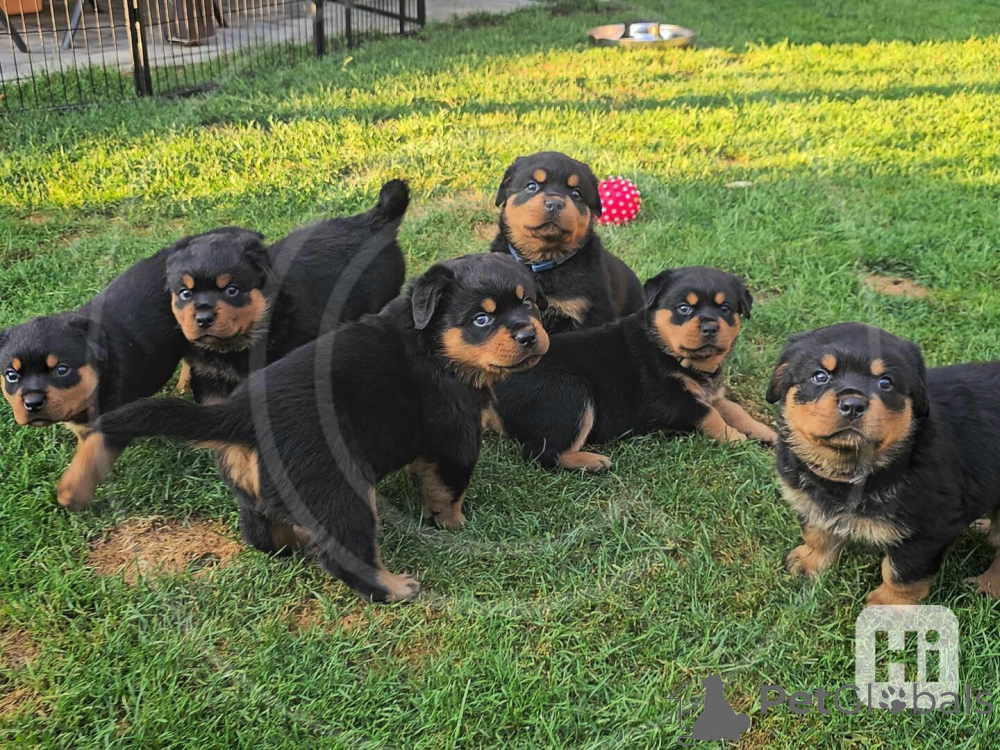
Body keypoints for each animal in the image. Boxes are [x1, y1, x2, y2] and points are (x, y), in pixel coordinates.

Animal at [0, 246, 187, 510]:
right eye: (11, 375)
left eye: (62, 370)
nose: (32, 403)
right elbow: (86, 451)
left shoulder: (119, 420)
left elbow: (90, 457)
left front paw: (70, 494)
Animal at [95, 254, 550, 602]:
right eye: (481, 319)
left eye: (529, 303)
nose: (529, 335)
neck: (434, 346)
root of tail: (237, 413)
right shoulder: (457, 437)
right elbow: (448, 491)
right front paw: (454, 523)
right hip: (341, 489)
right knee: (345, 554)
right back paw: (396, 588)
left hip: (252, 489)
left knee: (262, 533)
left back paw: (297, 542)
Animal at [490, 266, 776, 472]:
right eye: (684, 308)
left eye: (725, 308)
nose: (710, 327)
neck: (670, 352)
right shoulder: (667, 402)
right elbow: (710, 414)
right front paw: (734, 437)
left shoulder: (707, 392)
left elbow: (733, 408)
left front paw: (764, 431)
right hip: (570, 393)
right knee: (541, 452)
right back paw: (591, 461)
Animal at [767, 322, 1000, 605]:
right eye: (820, 376)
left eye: (885, 382)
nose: (853, 404)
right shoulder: (810, 500)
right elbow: (816, 532)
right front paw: (810, 561)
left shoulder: (925, 529)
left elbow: (901, 573)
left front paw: (887, 605)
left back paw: (988, 586)